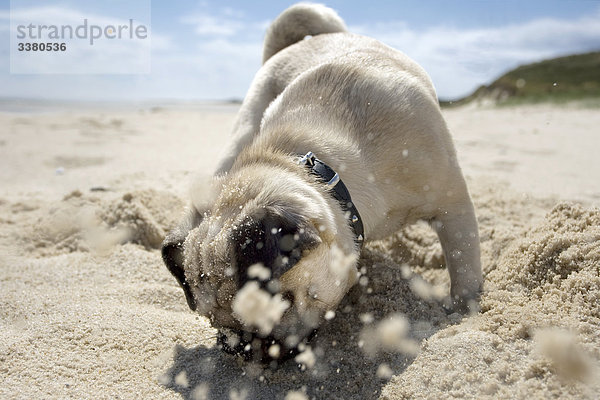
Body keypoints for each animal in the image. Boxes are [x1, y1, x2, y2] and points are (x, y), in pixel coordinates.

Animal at [163, 2, 482, 362]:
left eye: (277, 306)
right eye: (210, 319)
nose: (240, 345)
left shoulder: (453, 205)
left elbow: (464, 265)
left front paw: (463, 311)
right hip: (240, 134)